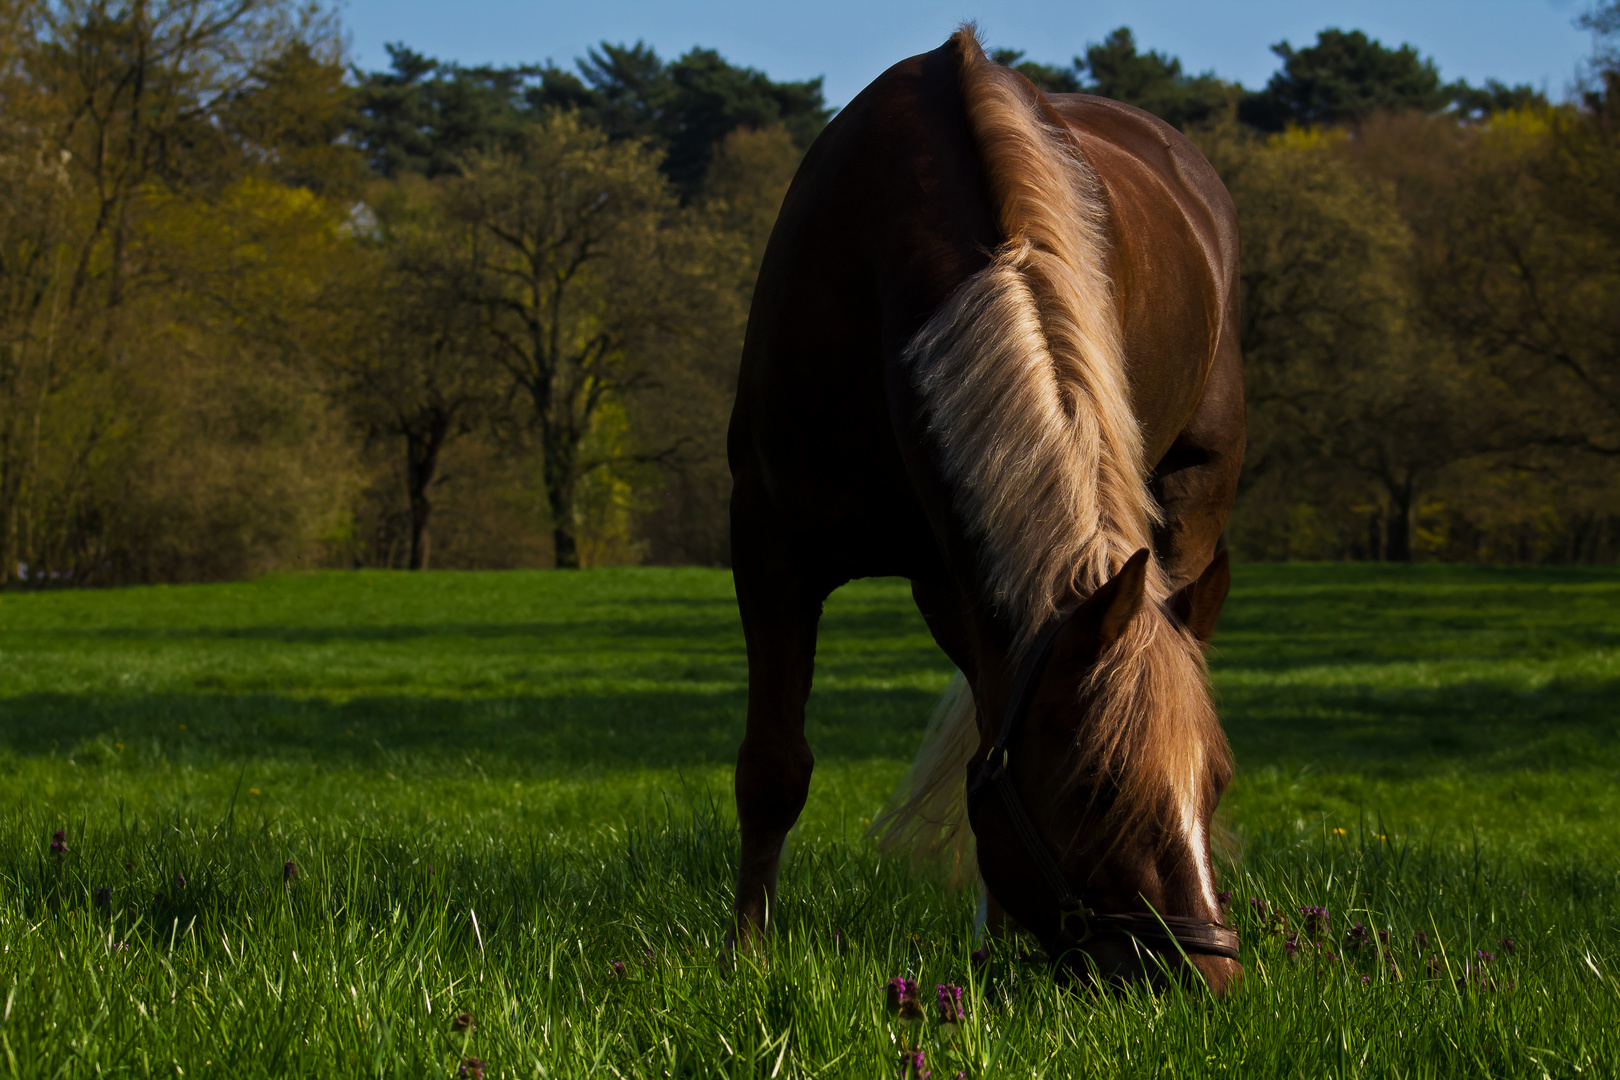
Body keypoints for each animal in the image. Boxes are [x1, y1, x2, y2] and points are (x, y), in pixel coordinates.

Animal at [729, 25, 1244, 990]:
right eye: (1094, 789)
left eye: (1217, 784)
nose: (1209, 980)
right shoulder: (773, 544)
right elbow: (774, 766)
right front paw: (744, 956)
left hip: (1193, 498)